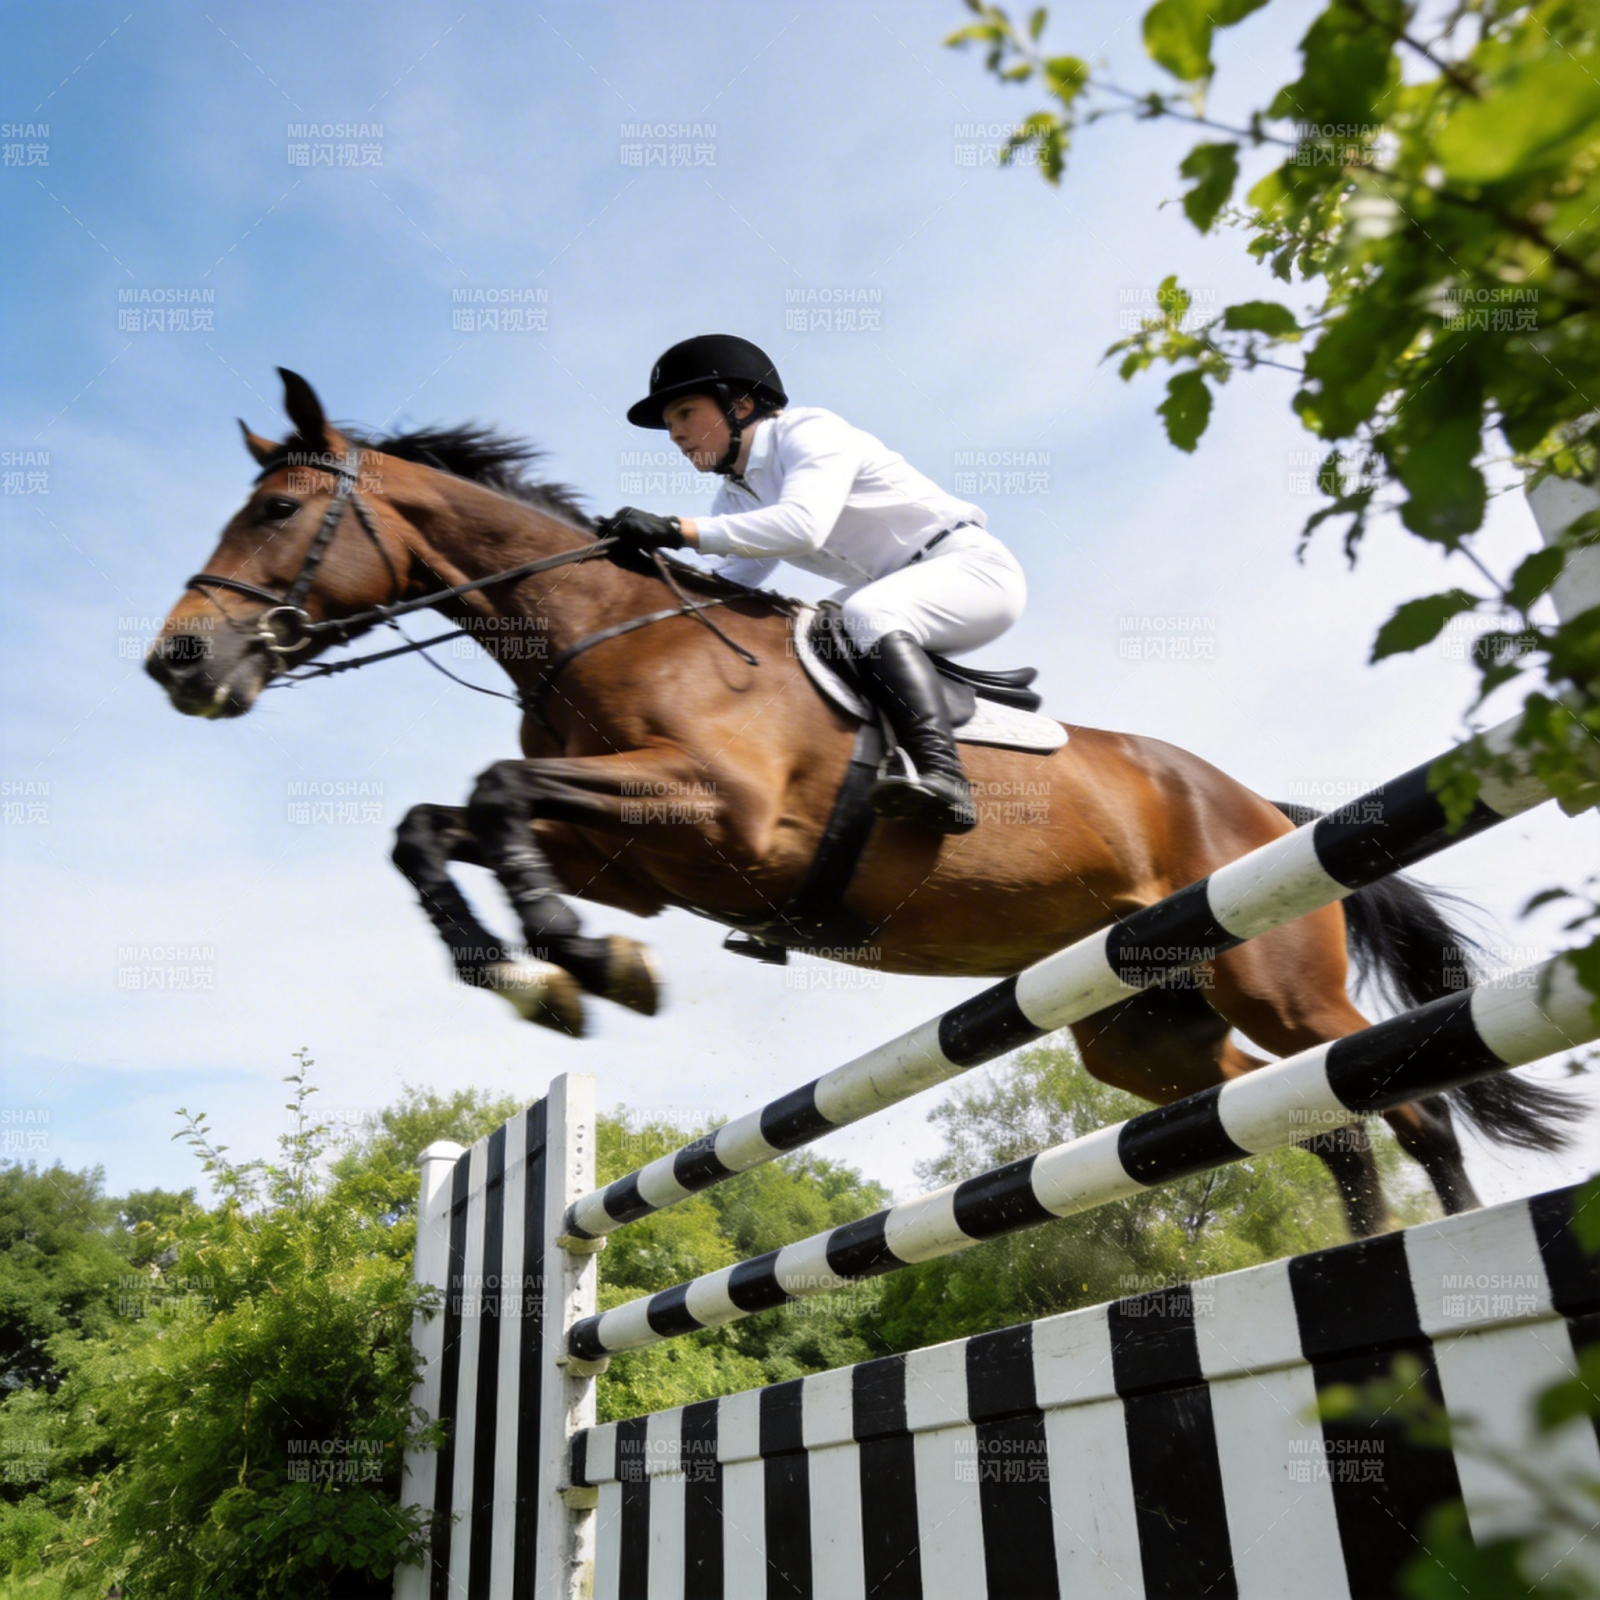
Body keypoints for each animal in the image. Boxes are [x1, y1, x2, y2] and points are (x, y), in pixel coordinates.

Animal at [146, 371, 1577, 1238]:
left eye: (278, 508)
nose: (179, 663)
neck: (599, 628)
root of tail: (1262, 808)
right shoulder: (632, 856)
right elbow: (440, 825)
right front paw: (539, 970)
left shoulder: (718, 812)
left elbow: (491, 792)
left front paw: (567, 960)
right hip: (1141, 1023)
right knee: (1318, 1126)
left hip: (1277, 980)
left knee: (1404, 1099)